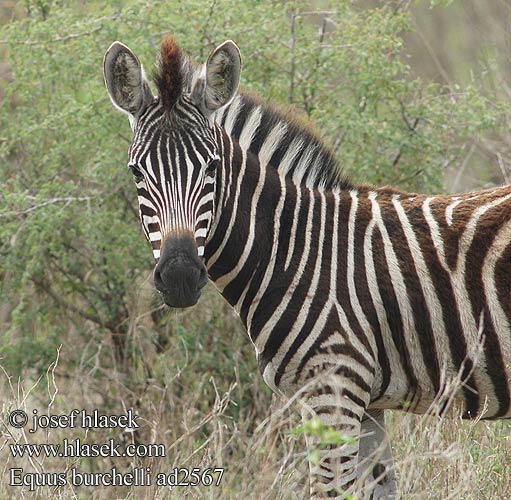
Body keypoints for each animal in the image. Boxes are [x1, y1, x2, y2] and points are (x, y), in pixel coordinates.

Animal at [103, 37, 511, 498]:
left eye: (212, 167)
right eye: (137, 172)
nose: (179, 277)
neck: (294, 250)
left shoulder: (333, 387)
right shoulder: (366, 404)